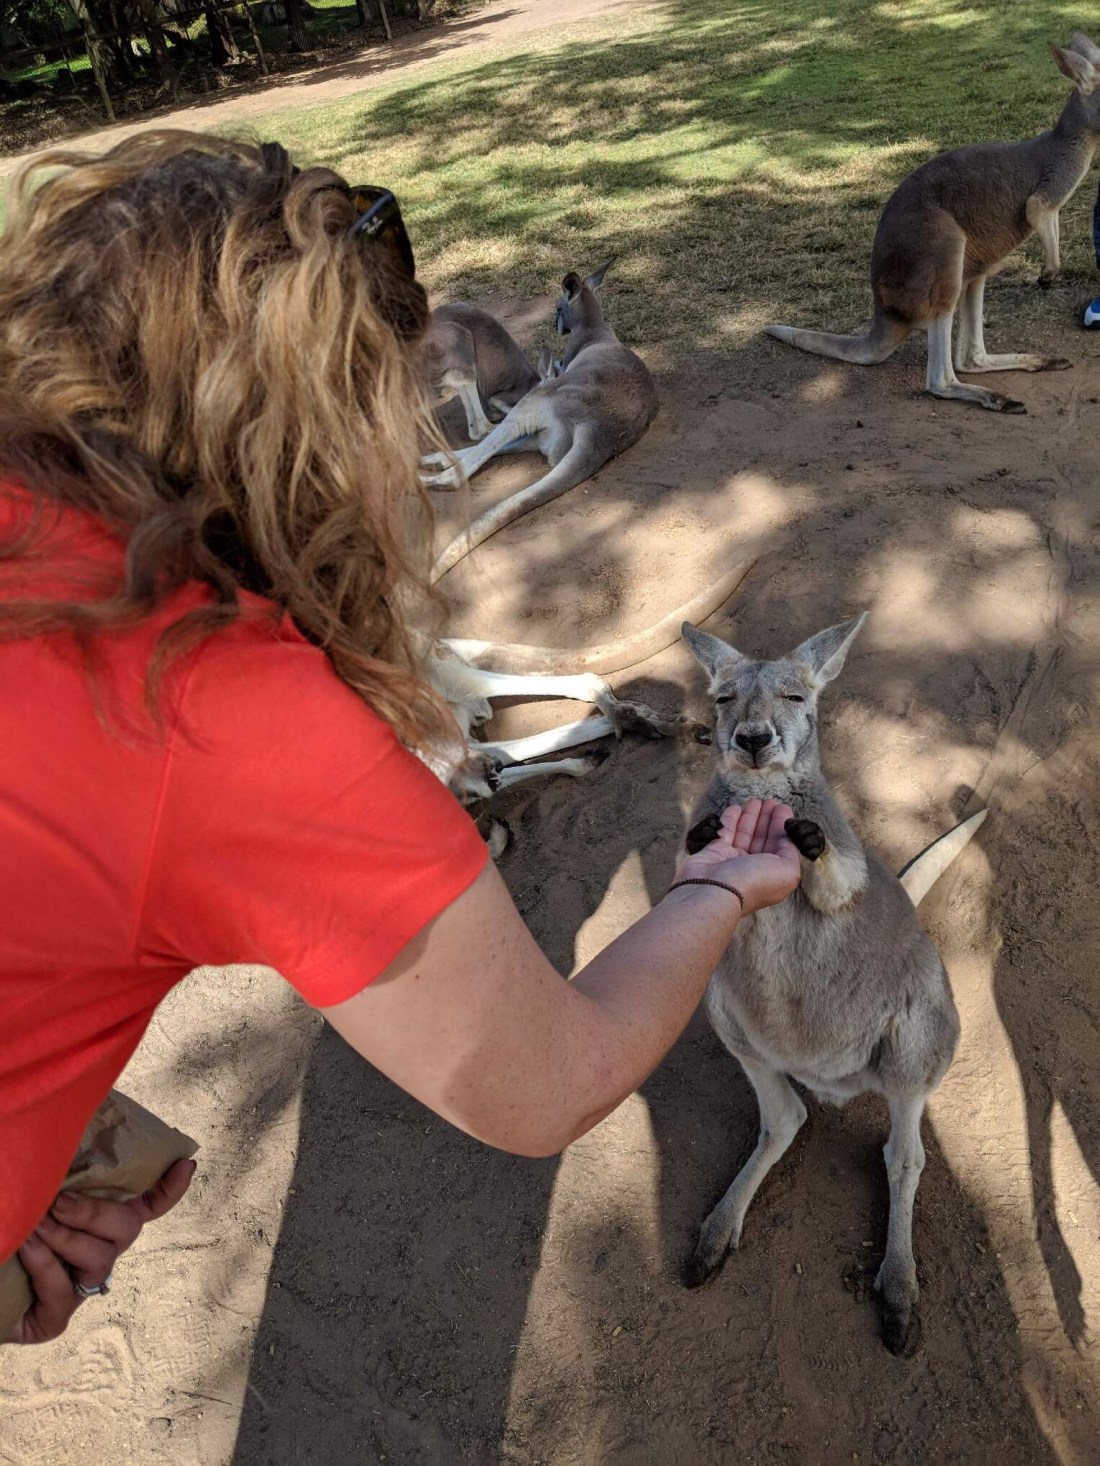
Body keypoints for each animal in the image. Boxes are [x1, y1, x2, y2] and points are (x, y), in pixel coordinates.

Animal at [421, 261, 659, 581]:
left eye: (557, 307)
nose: (556, 327)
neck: (594, 328)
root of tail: (603, 433)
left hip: (544, 398)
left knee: (487, 443)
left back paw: (435, 477)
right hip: (548, 430)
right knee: (507, 442)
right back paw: (434, 462)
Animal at [680, 612, 986, 1354]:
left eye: (795, 697)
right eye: (724, 699)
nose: (752, 740)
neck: (765, 794)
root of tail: (831, 1078)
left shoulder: (849, 861)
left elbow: (838, 882)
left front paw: (806, 842)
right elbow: (693, 870)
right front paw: (705, 838)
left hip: (919, 1030)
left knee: (904, 1157)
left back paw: (899, 1293)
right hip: (727, 1011)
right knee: (785, 1118)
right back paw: (715, 1234)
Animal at [765, 33, 1100, 413]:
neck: (1070, 140)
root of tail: (885, 311)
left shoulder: (1053, 206)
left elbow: (1051, 223)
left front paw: (1049, 271)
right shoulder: (1047, 190)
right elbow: (1036, 210)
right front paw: (1048, 274)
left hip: (972, 267)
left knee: (970, 357)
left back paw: (1036, 361)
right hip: (940, 245)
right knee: (939, 375)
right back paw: (994, 397)